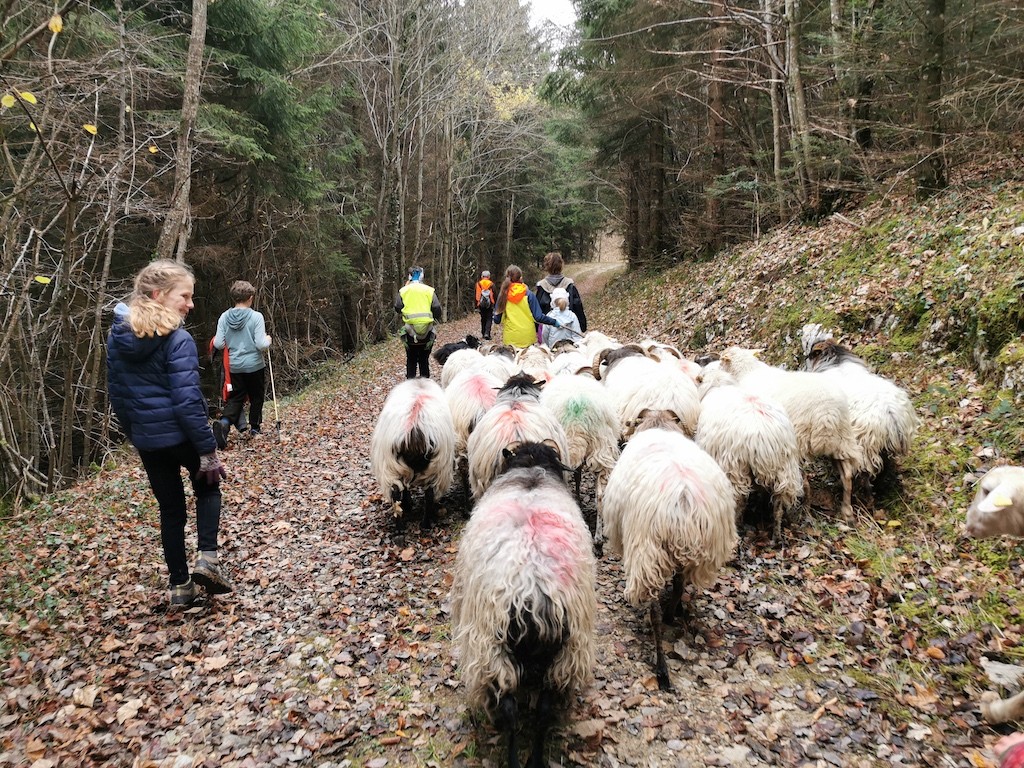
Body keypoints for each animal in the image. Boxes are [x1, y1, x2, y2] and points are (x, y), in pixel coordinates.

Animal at [370, 376, 454, 528]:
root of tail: (414, 425)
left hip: (393, 466)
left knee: (398, 493)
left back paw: (402, 525)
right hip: (434, 468)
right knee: (427, 494)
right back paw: (423, 523)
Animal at [450, 438, 598, 768]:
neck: (531, 470)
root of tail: (533, 588)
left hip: (493, 648)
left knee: (510, 711)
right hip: (562, 654)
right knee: (543, 710)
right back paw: (535, 759)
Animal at [598, 409, 737, 692]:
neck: (659, 425)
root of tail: (683, 501)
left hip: (647, 553)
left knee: (654, 611)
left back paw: (662, 669)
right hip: (694, 553)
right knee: (680, 584)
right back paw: (673, 614)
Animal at [696, 364, 798, 540]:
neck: (718, 385)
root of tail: (762, 436)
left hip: (735, 467)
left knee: (740, 500)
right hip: (785, 468)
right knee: (779, 502)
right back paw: (776, 534)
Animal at [720, 350, 864, 524]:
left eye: (721, 360)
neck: (747, 372)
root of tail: (828, 413)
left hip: (799, 440)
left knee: (803, 481)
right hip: (842, 440)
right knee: (847, 474)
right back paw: (847, 512)